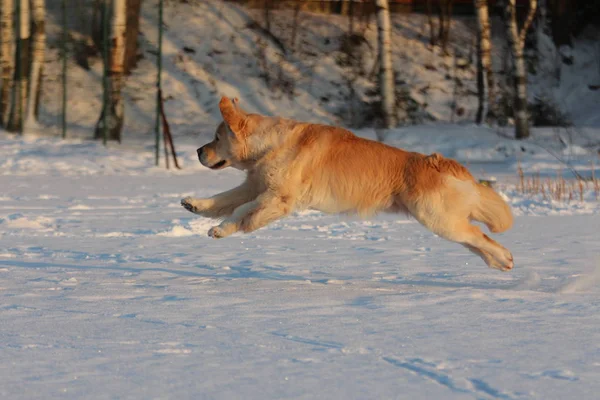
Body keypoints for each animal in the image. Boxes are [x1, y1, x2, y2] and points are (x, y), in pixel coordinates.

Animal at [180, 98, 512, 270]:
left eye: (217, 138)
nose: (197, 151)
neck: (271, 144)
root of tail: (441, 161)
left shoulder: (277, 197)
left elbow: (239, 212)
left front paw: (220, 229)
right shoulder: (256, 186)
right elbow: (224, 199)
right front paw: (194, 204)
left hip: (438, 218)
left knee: (480, 235)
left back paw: (505, 258)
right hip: (444, 221)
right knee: (475, 239)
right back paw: (498, 262)